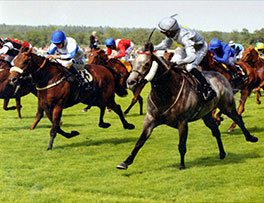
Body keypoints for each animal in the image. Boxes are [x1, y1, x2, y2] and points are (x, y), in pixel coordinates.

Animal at [116, 42, 258, 170]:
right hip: (206, 115)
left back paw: (250, 137)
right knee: (216, 131)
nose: (130, 82)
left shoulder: (182, 122)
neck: (166, 92)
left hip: (227, 105)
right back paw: (222, 153)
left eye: (146, 64)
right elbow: (140, 142)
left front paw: (182, 165)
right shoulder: (150, 119)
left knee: (238, 118)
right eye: (133, 62)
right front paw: (125, 162)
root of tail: (221, 76)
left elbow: (182, 145)